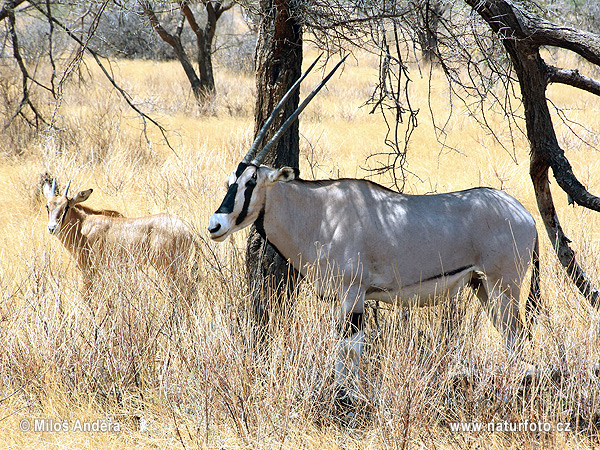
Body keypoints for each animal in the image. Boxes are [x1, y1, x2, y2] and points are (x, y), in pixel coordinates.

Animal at [41, 178, 199, 300]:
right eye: (48, 206)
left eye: (66, 206)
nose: (52, 228)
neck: (83, 225)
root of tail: (188, 230)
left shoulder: (89, 270)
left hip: (170, 268)